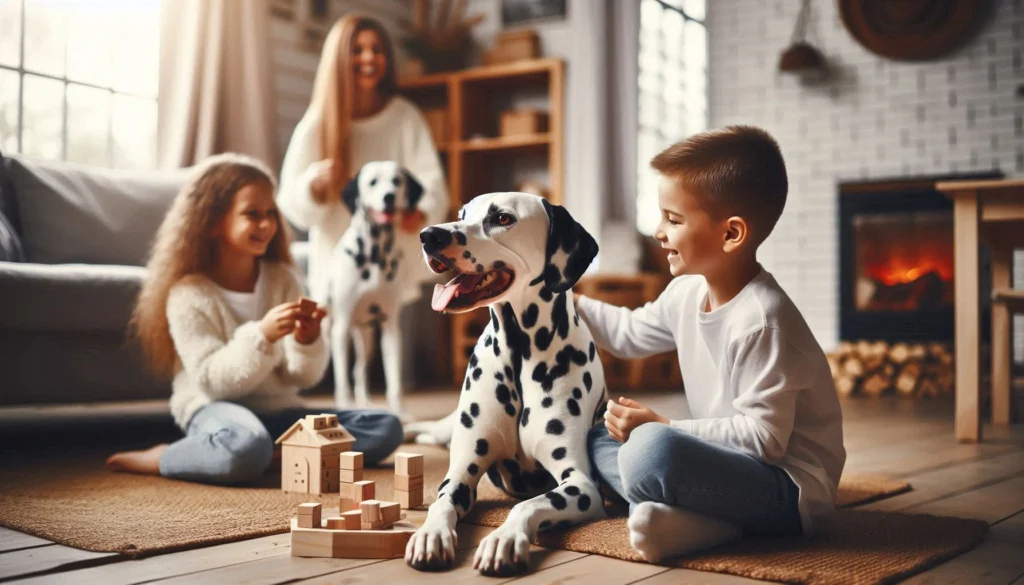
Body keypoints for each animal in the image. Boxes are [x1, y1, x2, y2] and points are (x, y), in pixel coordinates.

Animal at [327, 161, 423, 415]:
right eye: (372, 183)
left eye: (397, 181)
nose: (389, 196)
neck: (375, 252)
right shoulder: (340, 328)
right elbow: (341, 379)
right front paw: (344, 405)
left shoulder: (391, 329)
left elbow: (394, 379)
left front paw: (399, 410)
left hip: (366, 339)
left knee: (359, 370)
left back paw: (365, 403)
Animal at [401, 192, 610, 577]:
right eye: (462, 214)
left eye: (502, 218)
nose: (429, 235)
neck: (519, 355)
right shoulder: (461, 474)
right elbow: (440, 503)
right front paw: (429, 534)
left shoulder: (581, 484)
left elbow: (527, 505)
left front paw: (504, 539)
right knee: (431, 428)